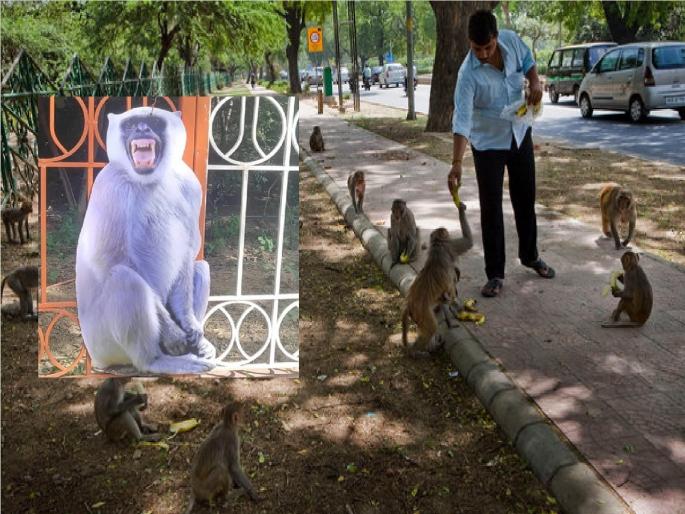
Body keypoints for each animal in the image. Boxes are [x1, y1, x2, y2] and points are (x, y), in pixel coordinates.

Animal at [75, 107, 216, 374]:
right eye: (132, 124)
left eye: (154, 121)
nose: (142, 128)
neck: (148, 180)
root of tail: (97, 359)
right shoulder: (110, 185)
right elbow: (108, 259)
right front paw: (173, 334)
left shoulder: (191, 184)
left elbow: (188, 254)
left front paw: (190, 325)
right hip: (104, 342)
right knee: (125, 278)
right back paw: (156, 360)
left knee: (201, 267)